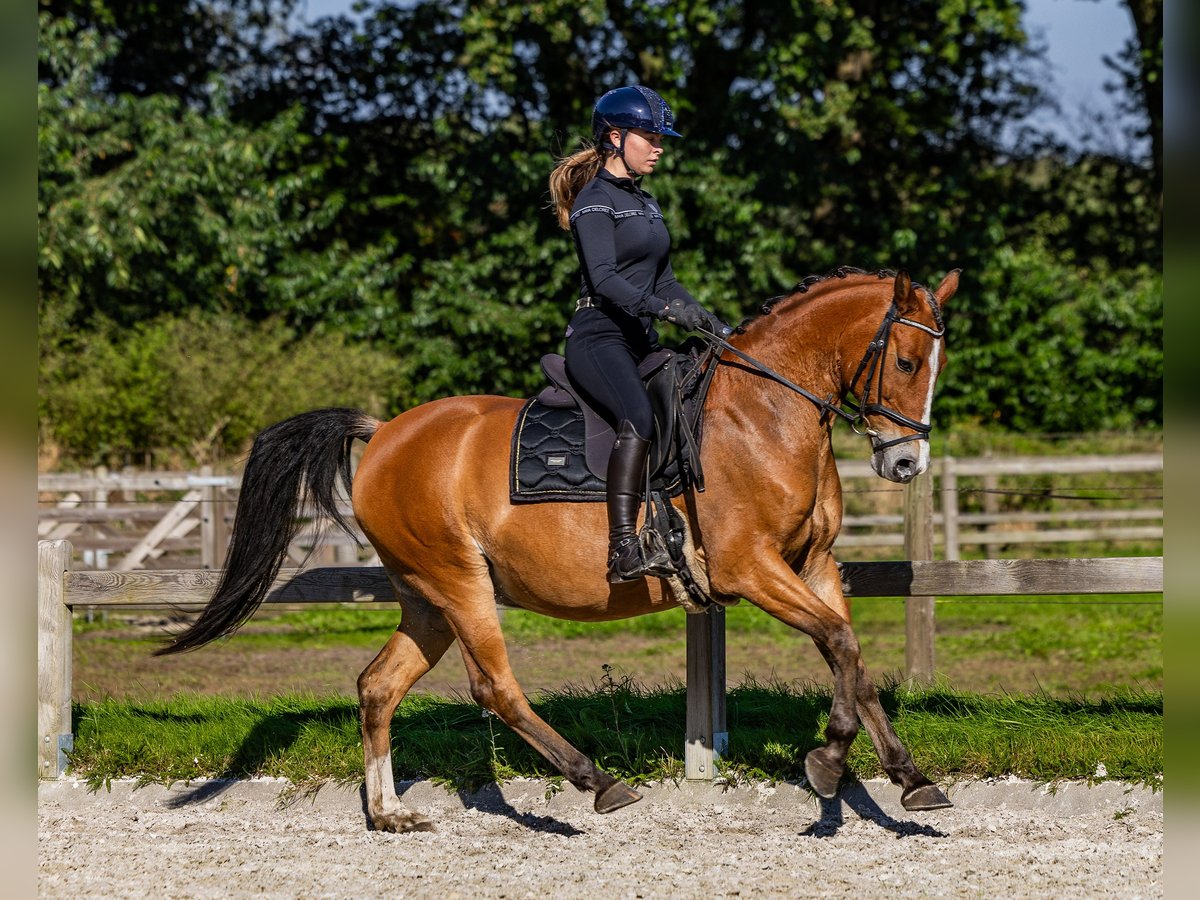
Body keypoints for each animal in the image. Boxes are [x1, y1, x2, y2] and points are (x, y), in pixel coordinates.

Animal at [162, 266, 964, 830]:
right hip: (460, 585)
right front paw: (828, 759)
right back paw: (597, 781)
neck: (766, 413)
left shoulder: (813, 566)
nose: (905, 464)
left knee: (378, 685)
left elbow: (852, 657)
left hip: (426, 598)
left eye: (936, 364)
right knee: (494, 688)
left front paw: (909, 778)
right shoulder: (751, 569)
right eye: (904, 362)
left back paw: (389, 812)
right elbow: (841, 644)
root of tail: (385, 431)